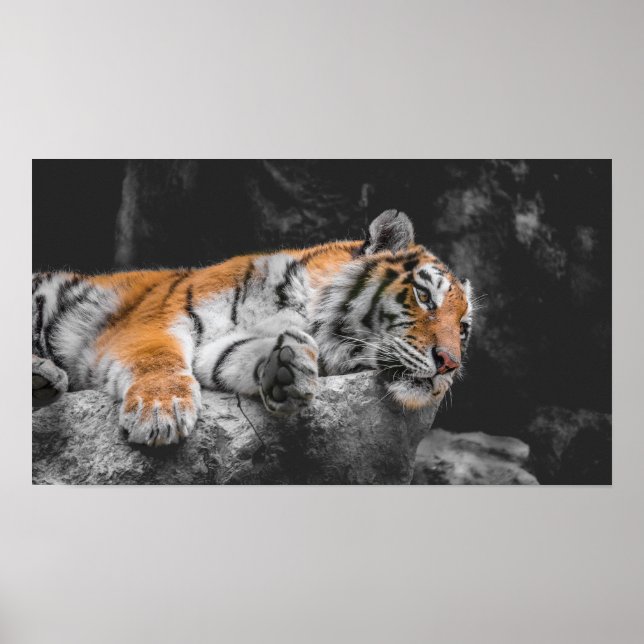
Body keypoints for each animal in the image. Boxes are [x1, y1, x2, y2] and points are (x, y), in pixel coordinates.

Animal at [32, 210, 473, 447]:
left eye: (464, 329)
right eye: (424, 296)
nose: (450, 364)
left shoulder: (218, 349)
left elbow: (237, 355)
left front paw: (286, 368)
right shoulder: (156, 321)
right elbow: (157, 359)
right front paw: (161, 412)